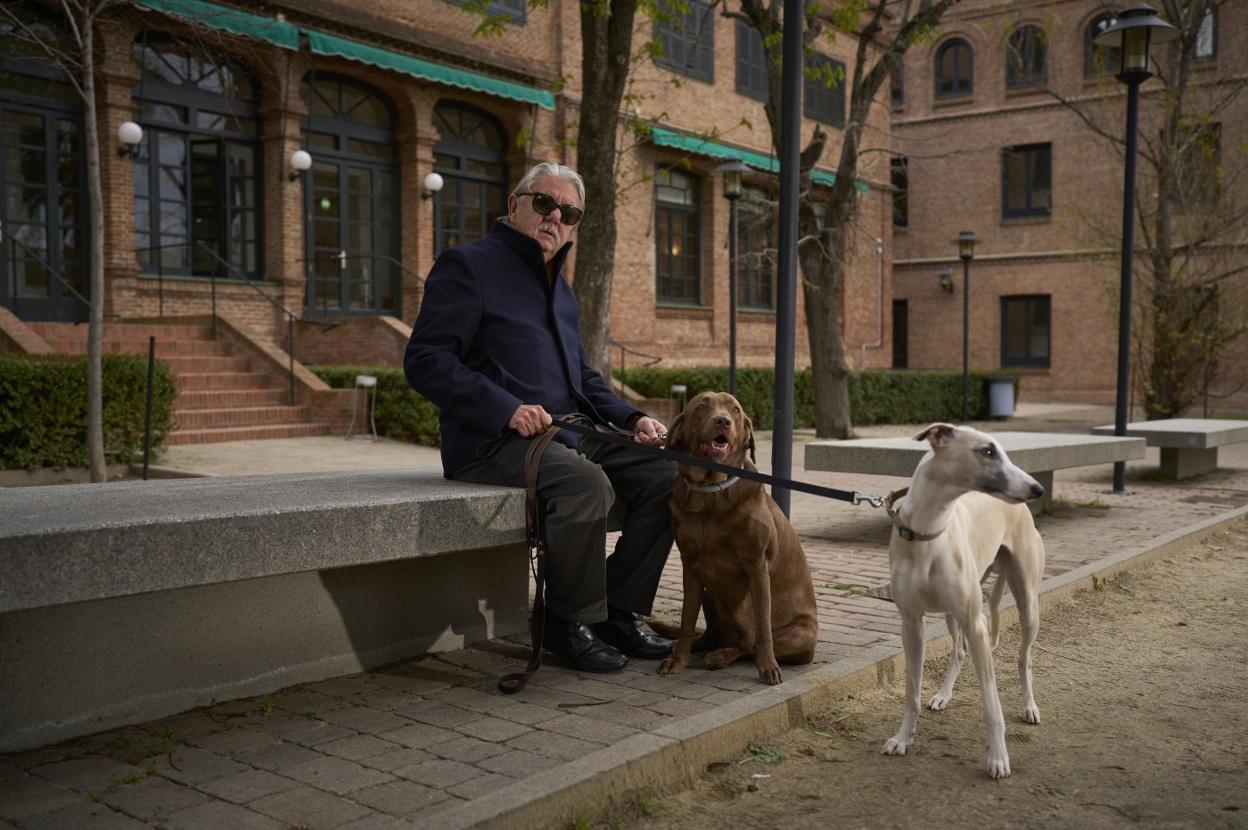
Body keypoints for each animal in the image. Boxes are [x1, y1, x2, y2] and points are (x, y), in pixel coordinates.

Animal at [653, 391, 818, 683]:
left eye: (736, 410)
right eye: (702, 406)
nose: (723, 421)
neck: (711, 491)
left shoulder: (757, 567)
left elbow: (762, 629)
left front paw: (768, 668)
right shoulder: (691, 566)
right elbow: (686, 620)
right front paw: (678, 660)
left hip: (801, 635)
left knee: (748, 644)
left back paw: (722, 656)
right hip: (709, 594)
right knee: (714, 636)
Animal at [883, 421, 1048, 778]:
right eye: (987, 451)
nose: (1038, 488)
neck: (930, 533)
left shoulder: (977, 624)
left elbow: (992, 704)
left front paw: (998, 758)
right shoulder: (911, 623)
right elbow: (911, 692)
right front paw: (902, 738)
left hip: (1027, 604)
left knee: (1024, 658)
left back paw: (1029, 706)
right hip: (951, 613)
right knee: (958, 651)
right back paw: (943, 696)